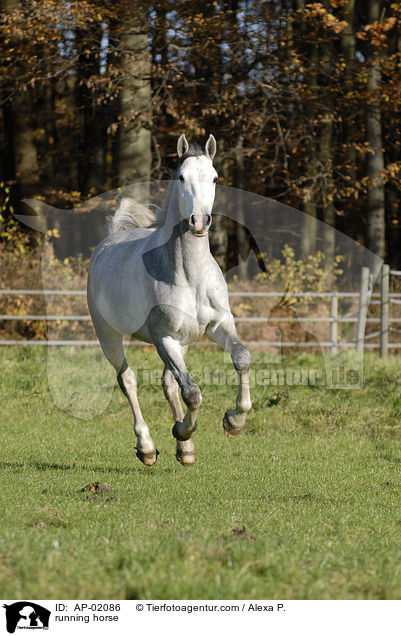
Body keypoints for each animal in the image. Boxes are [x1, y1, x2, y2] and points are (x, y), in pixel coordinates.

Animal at [86, 134, 250, 464]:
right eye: (181, 177)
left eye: (215, 177)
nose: (199, 221)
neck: (188, 275)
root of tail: (109, 240)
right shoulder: (163, 337)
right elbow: (193, 393)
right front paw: (183, 430)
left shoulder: (218, 325)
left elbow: (241, 359)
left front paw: (233, 421)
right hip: (108, 334)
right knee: (128, 379)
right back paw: (147, 447)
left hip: (184, 340)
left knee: (168, 382)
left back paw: (185, 450)